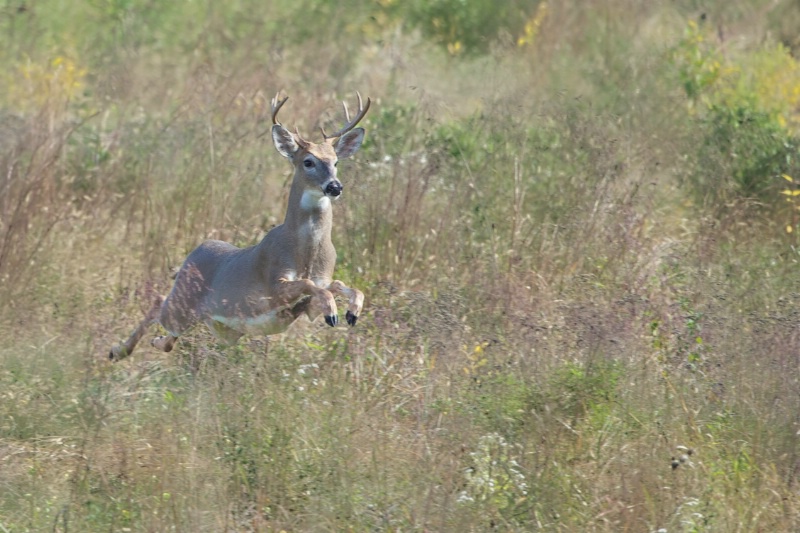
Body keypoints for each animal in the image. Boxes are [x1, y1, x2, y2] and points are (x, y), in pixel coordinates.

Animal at [111, 92, 370, 362]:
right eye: (308, 162)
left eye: (336, 162)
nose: (335, 186)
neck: (305, 252)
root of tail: (192, 254)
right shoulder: (273, 283)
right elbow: (309, 285)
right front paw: (334, 312)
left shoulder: (311, 298)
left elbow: (339, 286)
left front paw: (352, 312)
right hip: (183, 306)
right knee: (158, 303)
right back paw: (117, 351)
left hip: (223, 329)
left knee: (170, 332)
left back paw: (154, 342)